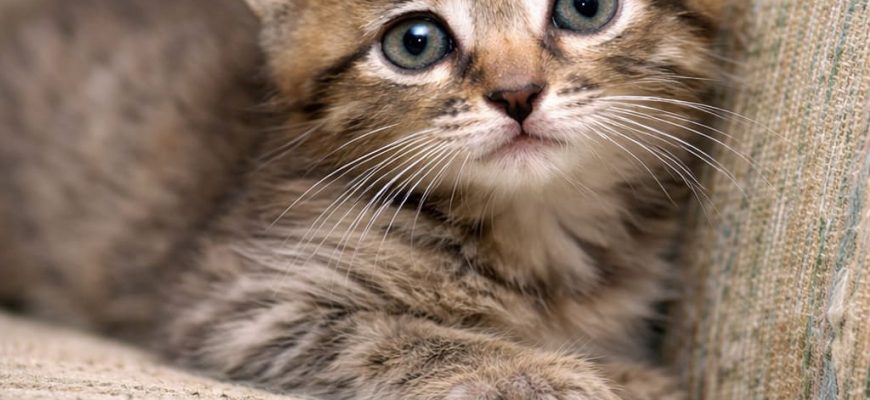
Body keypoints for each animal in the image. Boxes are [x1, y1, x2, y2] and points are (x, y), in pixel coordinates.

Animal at [0, 0, 723, 398]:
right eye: (415, 42)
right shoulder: (243, 301)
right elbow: (403, 335)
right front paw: (544, 373)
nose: (516, 92)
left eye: (587, 8)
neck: (532, 229)